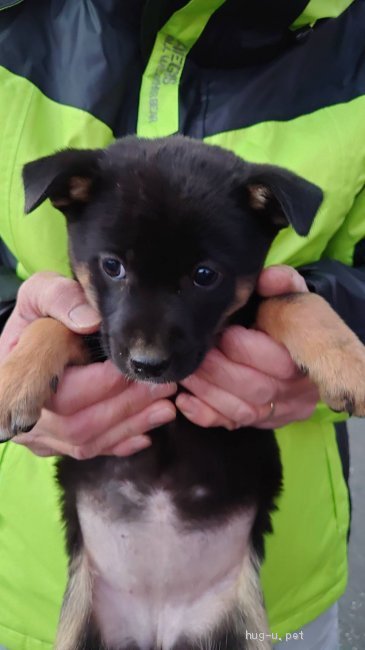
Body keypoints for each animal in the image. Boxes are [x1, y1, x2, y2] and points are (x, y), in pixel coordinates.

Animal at [0, 134, 364, 644]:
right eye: (112, 266)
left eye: (205, 275)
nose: (147, 366)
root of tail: (159, 623)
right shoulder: (101, 337)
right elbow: (58, 323)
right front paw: (12, 381)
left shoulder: (247, 308)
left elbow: (295, 300)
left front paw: (350, 365)